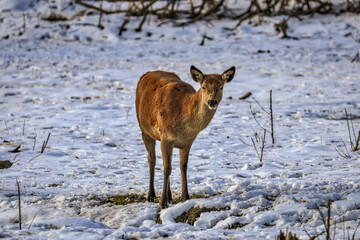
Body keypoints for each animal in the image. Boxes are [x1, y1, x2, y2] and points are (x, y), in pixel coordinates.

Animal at [136, 65, 235, 208]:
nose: (212, 102)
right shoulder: (165, 136)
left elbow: (183, 166)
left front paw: (185, 197)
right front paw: (162, 203)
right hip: (144, 129)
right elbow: (167, 168)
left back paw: (170, 196)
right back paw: (151, 195)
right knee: (152, 159)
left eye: (221, 87)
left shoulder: (187, 142)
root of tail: (147, 73)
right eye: (203, 86)